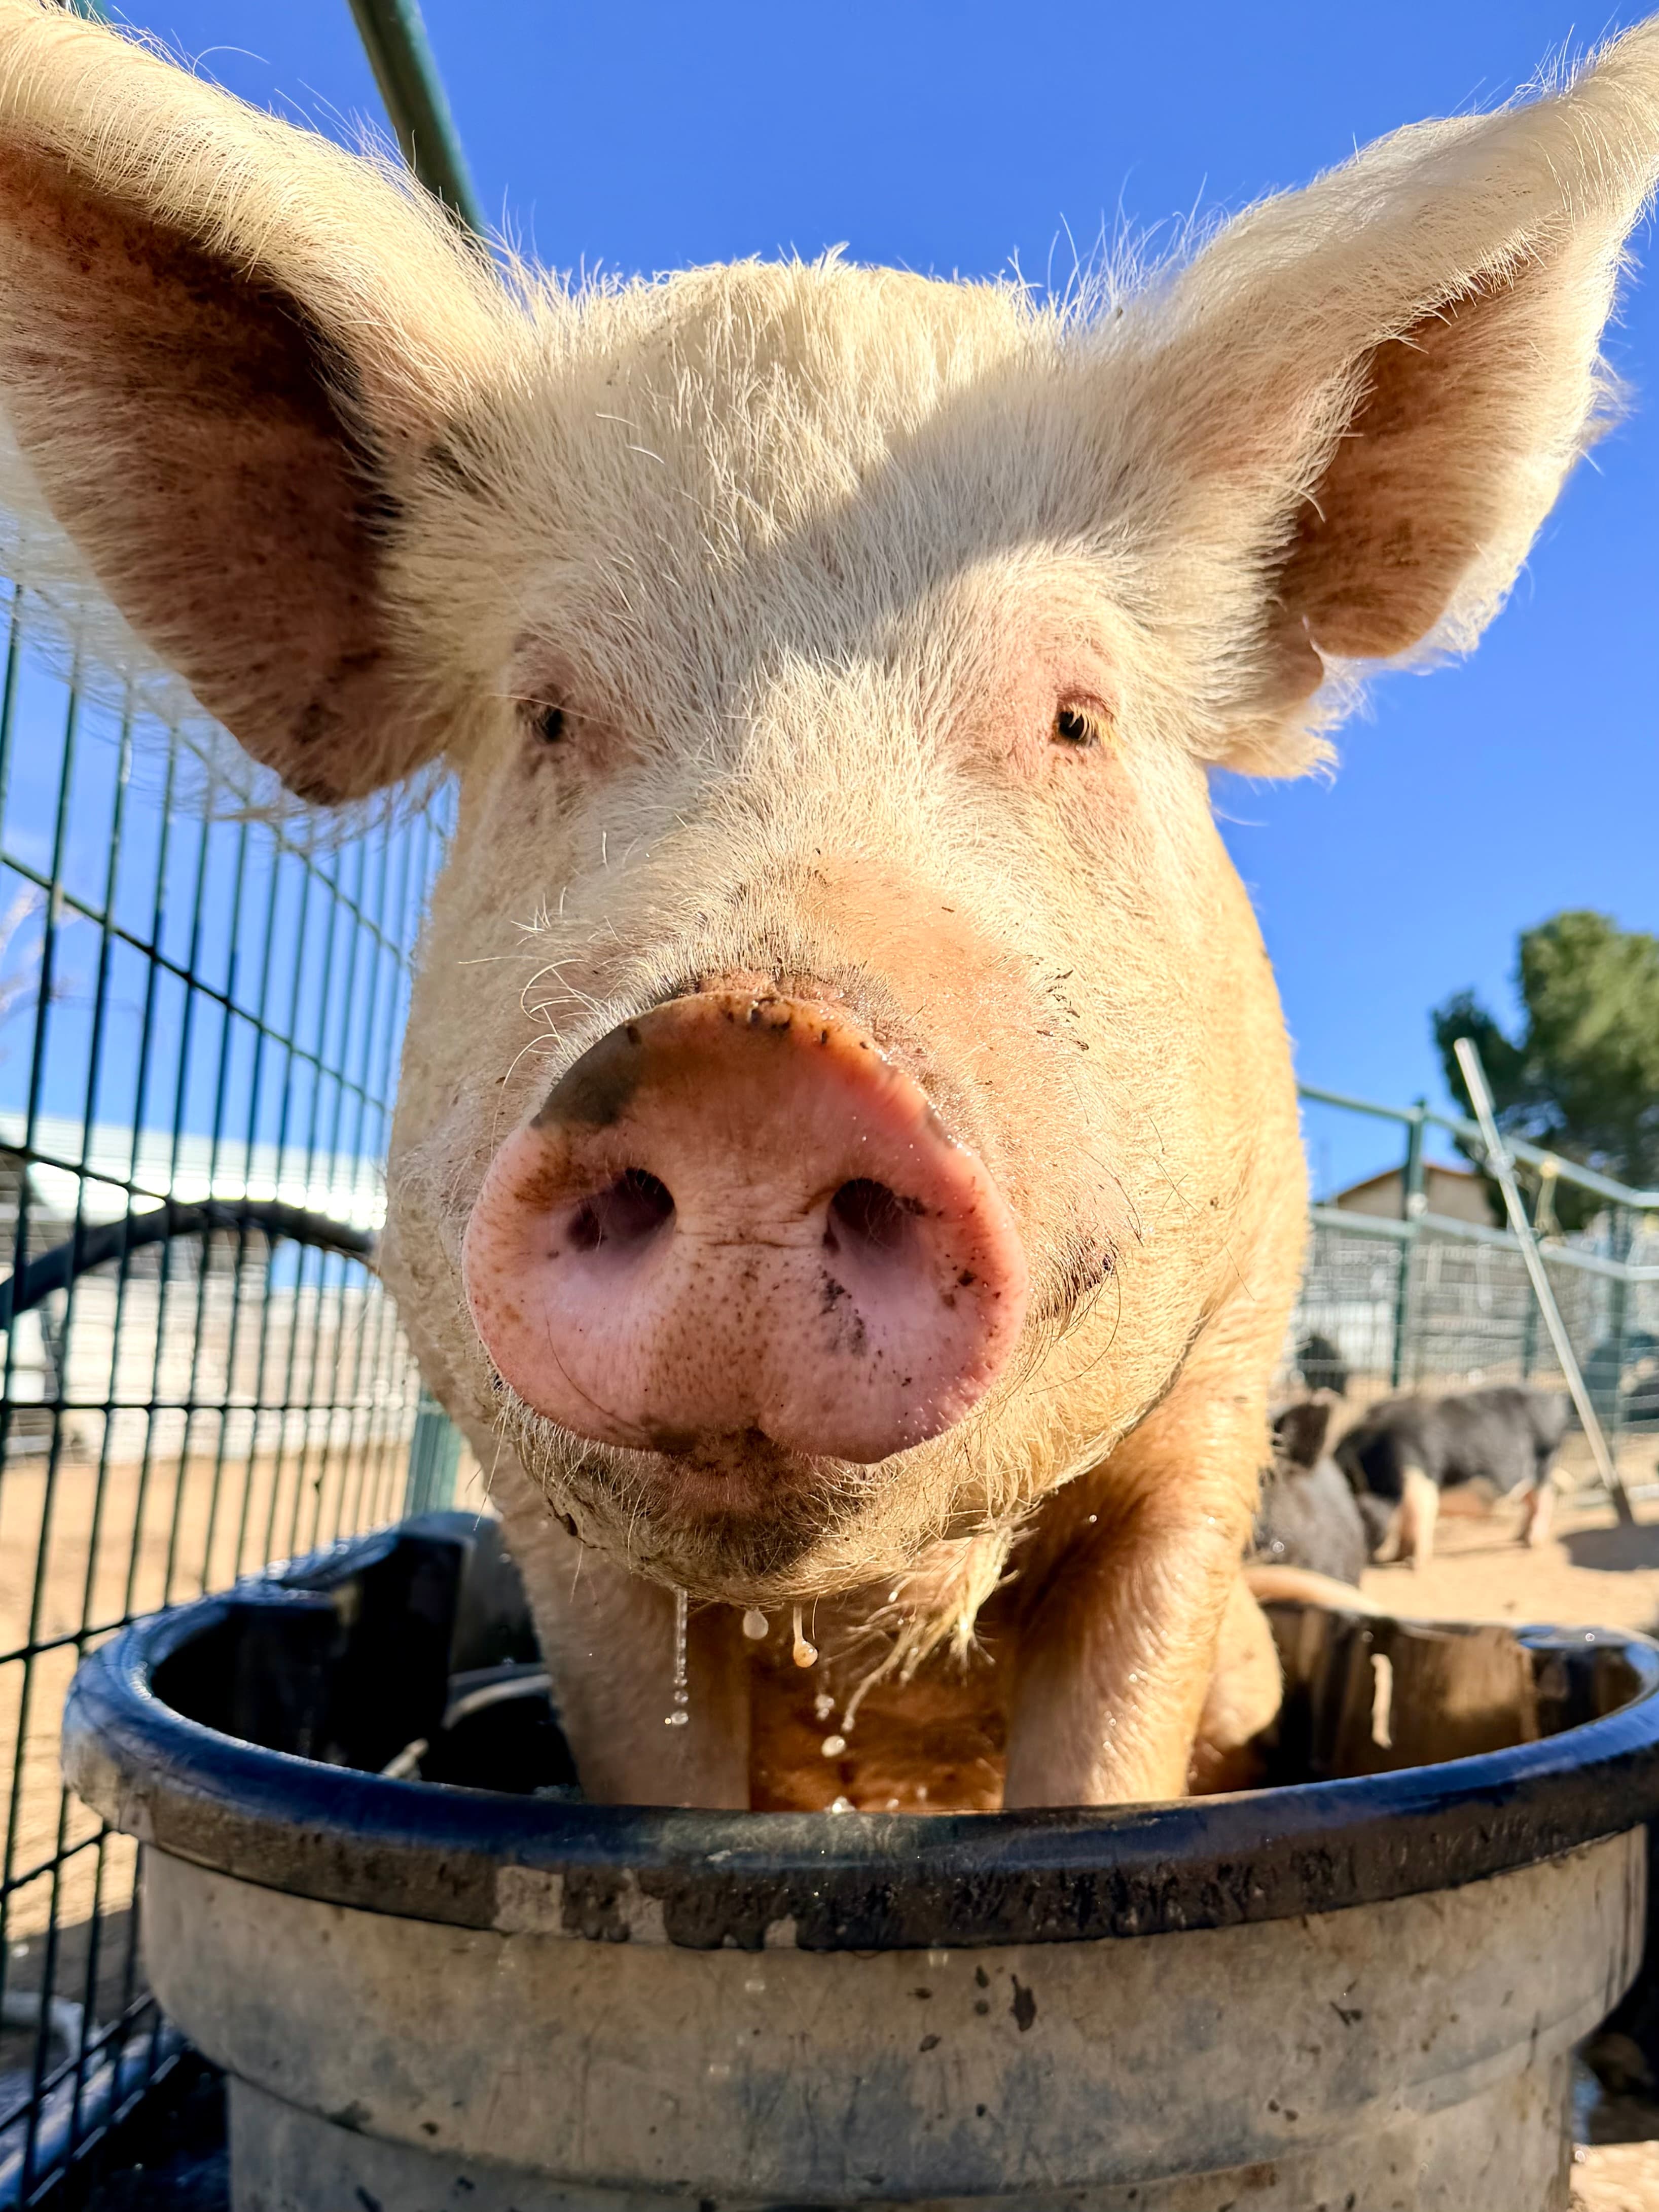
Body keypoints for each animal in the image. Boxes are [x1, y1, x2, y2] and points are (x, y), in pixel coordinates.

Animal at [1335, 1385, 1573, 1569]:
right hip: (1528, 1479)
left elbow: (1420, 1520)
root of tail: (1555, 1401)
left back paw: (1533, 1543)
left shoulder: (1421, 1482)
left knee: (1545, 1501)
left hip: (1545, 1464)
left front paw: (1413, 1564)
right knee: (1530, 1503)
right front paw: (1397, 1557)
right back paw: (1519, 1538)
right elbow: (1405, 1526)